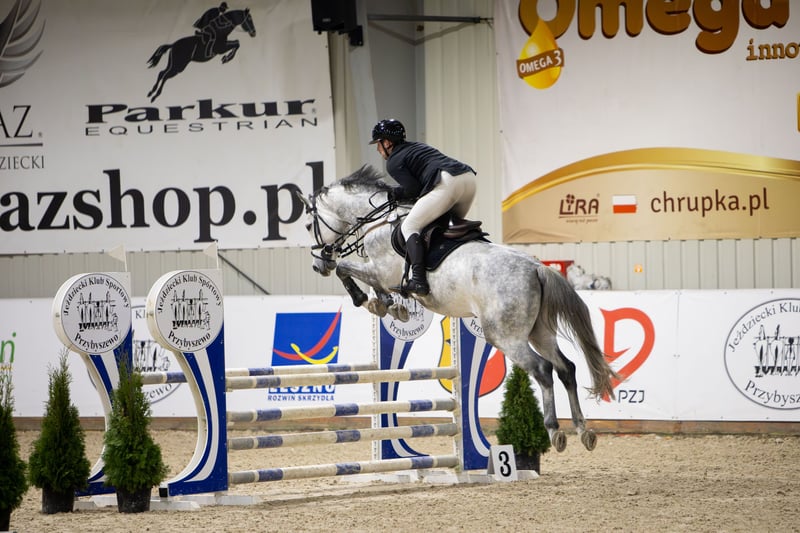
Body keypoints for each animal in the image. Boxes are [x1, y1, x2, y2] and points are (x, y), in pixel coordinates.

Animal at [299, 165, 622, 452]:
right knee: (566, 367)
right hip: (539, 332)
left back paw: (555, 430)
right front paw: (387, 306)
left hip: (504, 335)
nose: (317, 265)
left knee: (543, 369)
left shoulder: (380, 271)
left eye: (308, 226)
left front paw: (366, 299)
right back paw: (583, 430)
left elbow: (345, 269)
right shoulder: (381, 276)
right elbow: (372, 287)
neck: (377, 222)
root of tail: (536, 268)